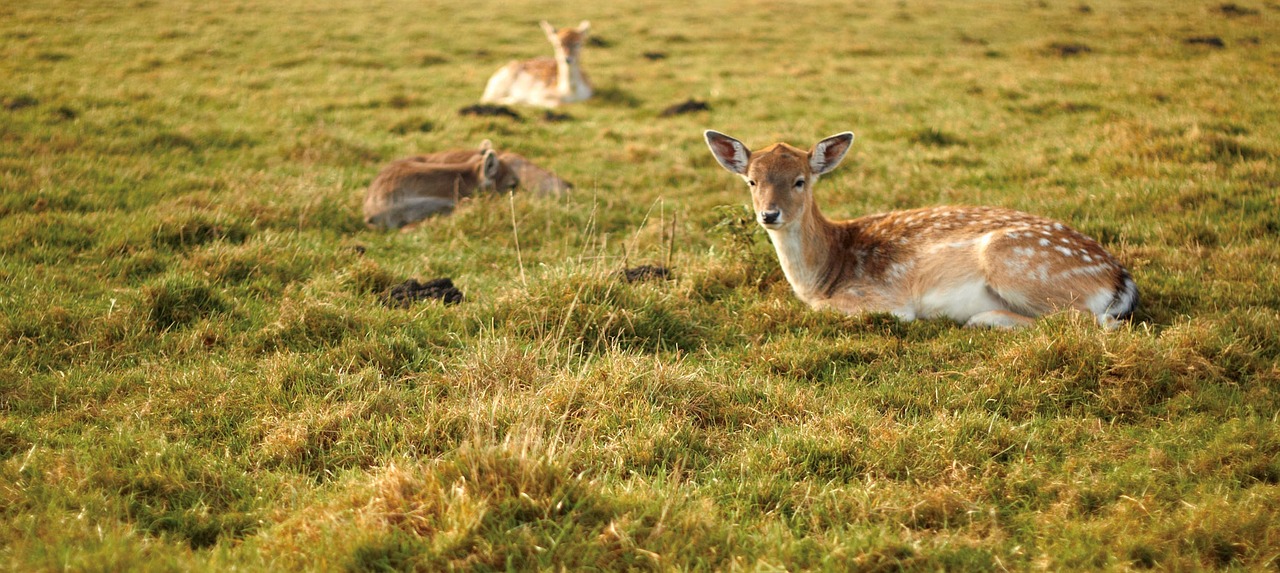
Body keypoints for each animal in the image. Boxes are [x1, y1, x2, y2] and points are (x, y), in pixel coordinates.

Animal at [701, 129, 1141, 327]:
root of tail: (1120, 279)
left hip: (1018, 263)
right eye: (751, 181)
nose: (769, 215)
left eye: (800, 181)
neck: (824, 275)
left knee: (1088, 322)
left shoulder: (883, 298)